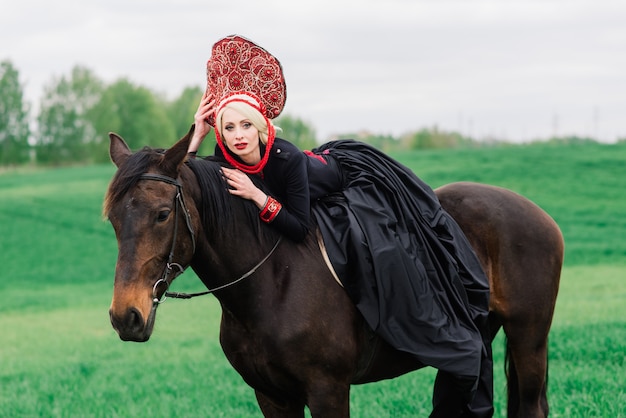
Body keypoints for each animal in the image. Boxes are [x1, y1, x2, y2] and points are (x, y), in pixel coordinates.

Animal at [105, 128, 564, 418]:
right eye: (113, 219)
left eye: (162, 214)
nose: (126, 316)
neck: (273, 282)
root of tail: (541, 216)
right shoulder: (272, 396)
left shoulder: (328, 390)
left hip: (529, 339)